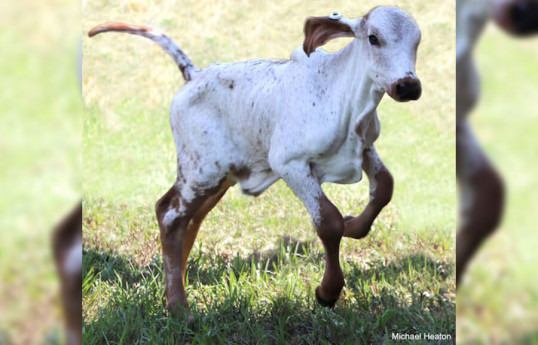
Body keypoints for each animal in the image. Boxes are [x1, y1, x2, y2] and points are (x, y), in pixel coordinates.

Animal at [88, 6, 420, 310]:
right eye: (374, 38)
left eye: (417, 41)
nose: (408, 86)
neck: (342, 97)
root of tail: (194, 75)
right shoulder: (289, 163)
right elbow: (329, 221)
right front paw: (328, 291)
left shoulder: (365, 147)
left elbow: (384, 186)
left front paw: (354, 226)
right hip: (201, 170)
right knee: (169, 213)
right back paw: (179, 308)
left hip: (219, 177)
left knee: (189, 219)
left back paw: (172, 293)